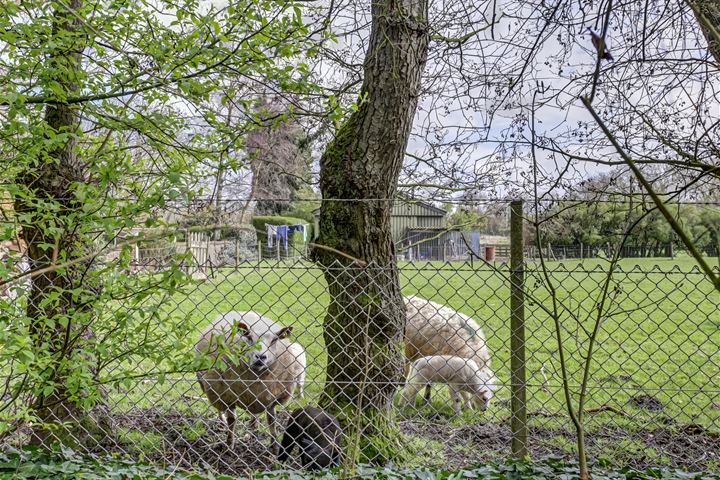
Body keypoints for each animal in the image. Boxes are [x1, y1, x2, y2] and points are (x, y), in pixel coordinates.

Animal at [195, 312, 306, 450]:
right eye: (249, 338)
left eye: (274, 340)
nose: (260, 356)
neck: (255, 377)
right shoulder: (227, 395)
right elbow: (232, 420)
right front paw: (229, 444)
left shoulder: (272, 398)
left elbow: (272, 421)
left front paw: (275, 446)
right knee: (220, 408)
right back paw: (223, 420)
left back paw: (254, 423)